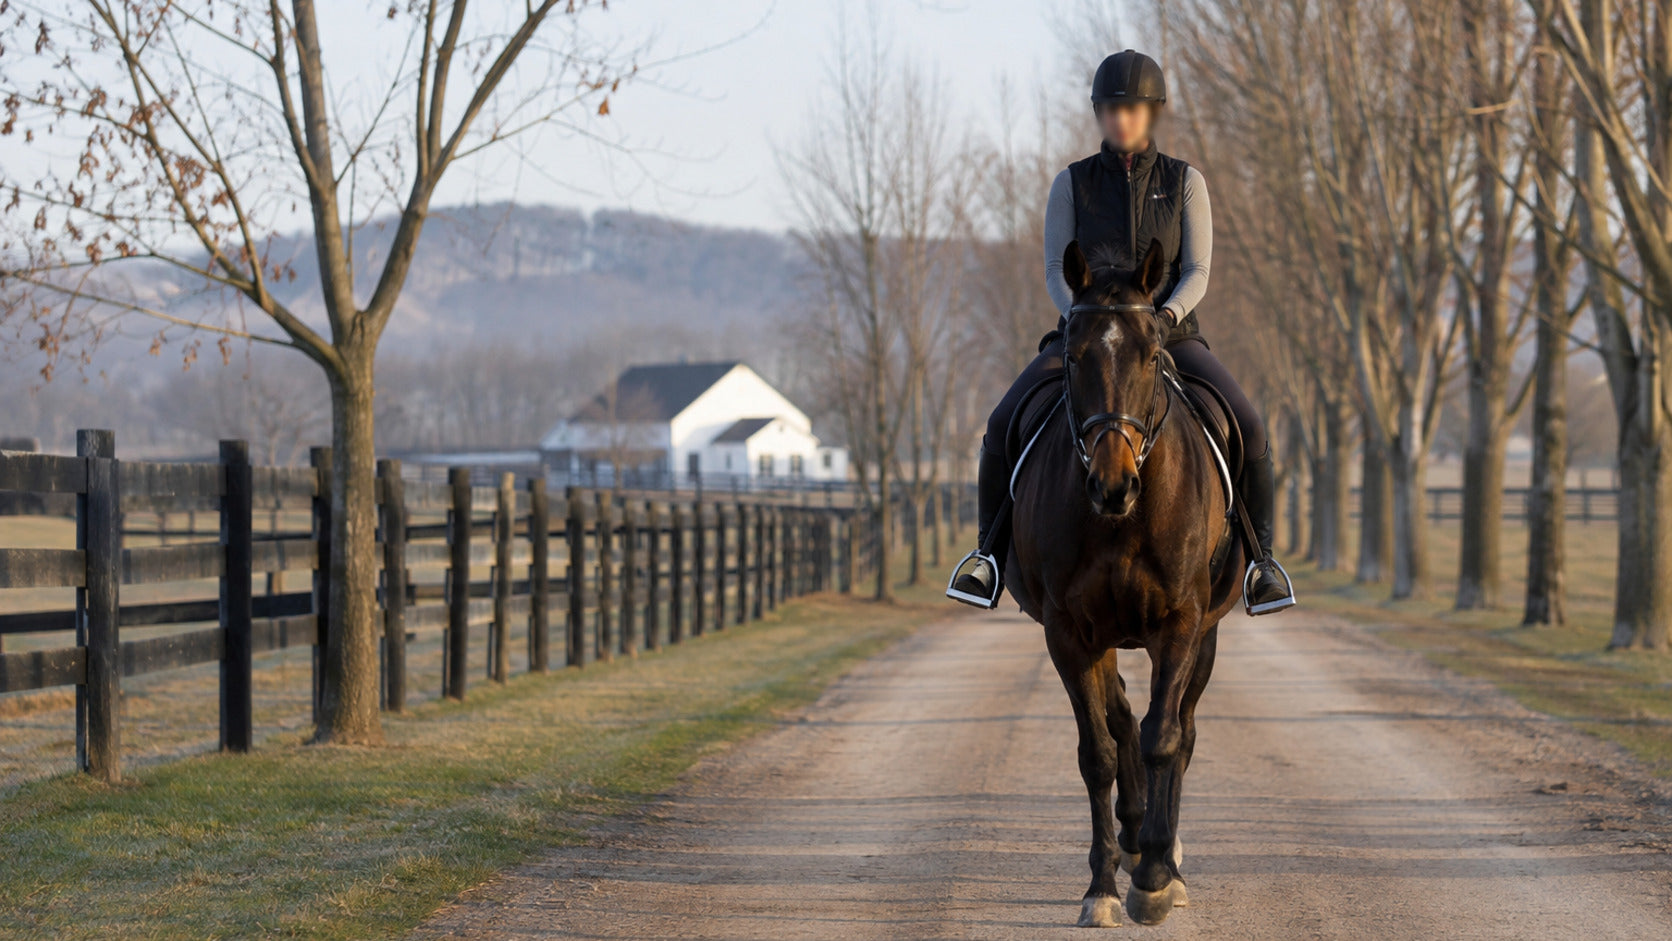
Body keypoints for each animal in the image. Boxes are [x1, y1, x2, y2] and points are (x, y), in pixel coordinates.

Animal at [1007, 238, 1245, 927]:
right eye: (1073, 356)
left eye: (1151, 355)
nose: (1113, 485)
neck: (1122, 520)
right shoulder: (1069, 633)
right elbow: (1100, 753)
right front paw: (1103, 888)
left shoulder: (1182, 623)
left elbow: (1164, 738)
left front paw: (1156, 880)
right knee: (1119, 720)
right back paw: (1135, 835)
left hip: (1206, 634)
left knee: (1180, 731)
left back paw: (1163, 856)